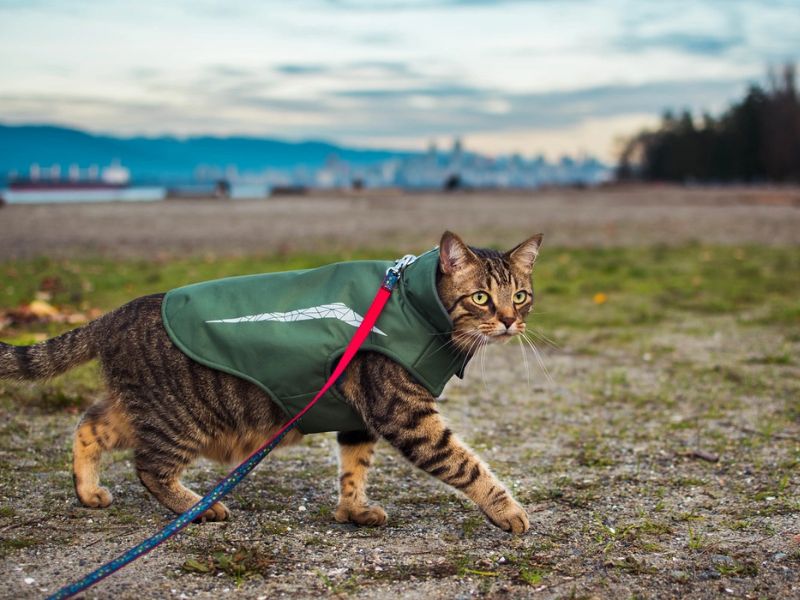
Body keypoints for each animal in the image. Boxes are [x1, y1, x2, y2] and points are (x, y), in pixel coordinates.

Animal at [1, 230, 544, 536]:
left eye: (520, 295)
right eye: (480, 297)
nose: (510, 321)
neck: (415, 303)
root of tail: (117, 313)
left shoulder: (360, 416)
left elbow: (354, 467)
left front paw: (353, 511)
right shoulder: (405, 413)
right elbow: (466, 465)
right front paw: (508, 511)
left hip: (139, 410)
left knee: (88, 425)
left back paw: (88, 491)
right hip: (182, 418)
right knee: (148, 467)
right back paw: (197, 508)